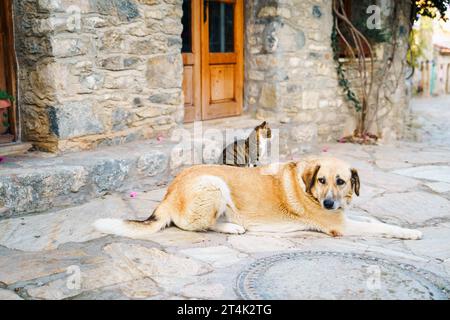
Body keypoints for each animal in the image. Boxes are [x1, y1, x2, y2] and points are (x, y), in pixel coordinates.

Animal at [94, 156, 422, 241]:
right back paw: (233, 227)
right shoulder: (340, 226)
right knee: (193, 226)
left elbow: (371, 218)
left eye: (340, 182)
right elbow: (379, 226)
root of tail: (168, 192)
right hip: (214, 185)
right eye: (322, 181)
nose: (329, 204)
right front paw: (409, 233)